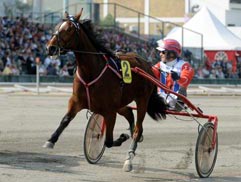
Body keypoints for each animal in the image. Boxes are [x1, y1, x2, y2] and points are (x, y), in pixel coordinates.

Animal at [44, 9, 167, 171]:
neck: (91, 71)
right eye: (57, 26)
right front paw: (51, 140)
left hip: (142, 100)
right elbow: (65, 120)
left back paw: (129, 156)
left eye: (69, 29)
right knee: (129, 113)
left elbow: (108, 141)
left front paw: (121, 139)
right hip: (121, 103)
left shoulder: (109, 111)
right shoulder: (76, 101)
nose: (50, 47)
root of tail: (147, 65)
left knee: (138, 128)